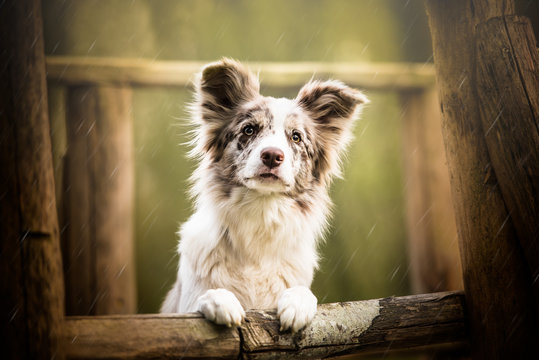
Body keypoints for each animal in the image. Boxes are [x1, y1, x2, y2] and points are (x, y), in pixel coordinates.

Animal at [160, 58, 370, 332]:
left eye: (296, 137)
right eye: (249, 130)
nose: (272, 155)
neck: (261, 211)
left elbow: (305, 293)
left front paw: (297, 304)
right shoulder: (183, 306)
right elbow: (203, 298)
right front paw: (220, 300)